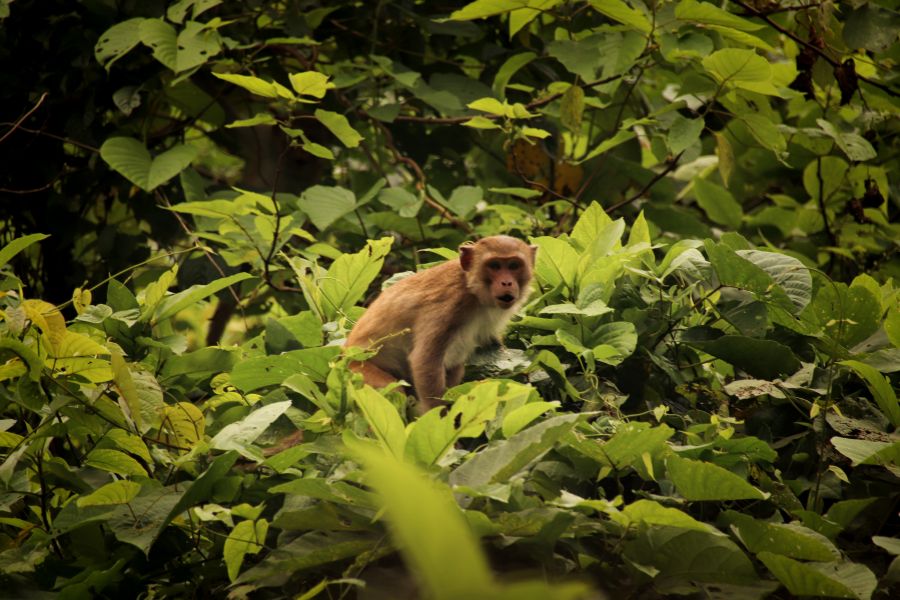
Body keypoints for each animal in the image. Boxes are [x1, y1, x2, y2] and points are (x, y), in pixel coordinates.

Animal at [346, 234, 536, 412]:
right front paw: (440, 417)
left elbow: (491, 343)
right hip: (358, 372)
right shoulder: (448, 304)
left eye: (514, 266)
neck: (472, 289)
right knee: (393, 390)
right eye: (495, 265)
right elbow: (424, 361)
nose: (506, 282)